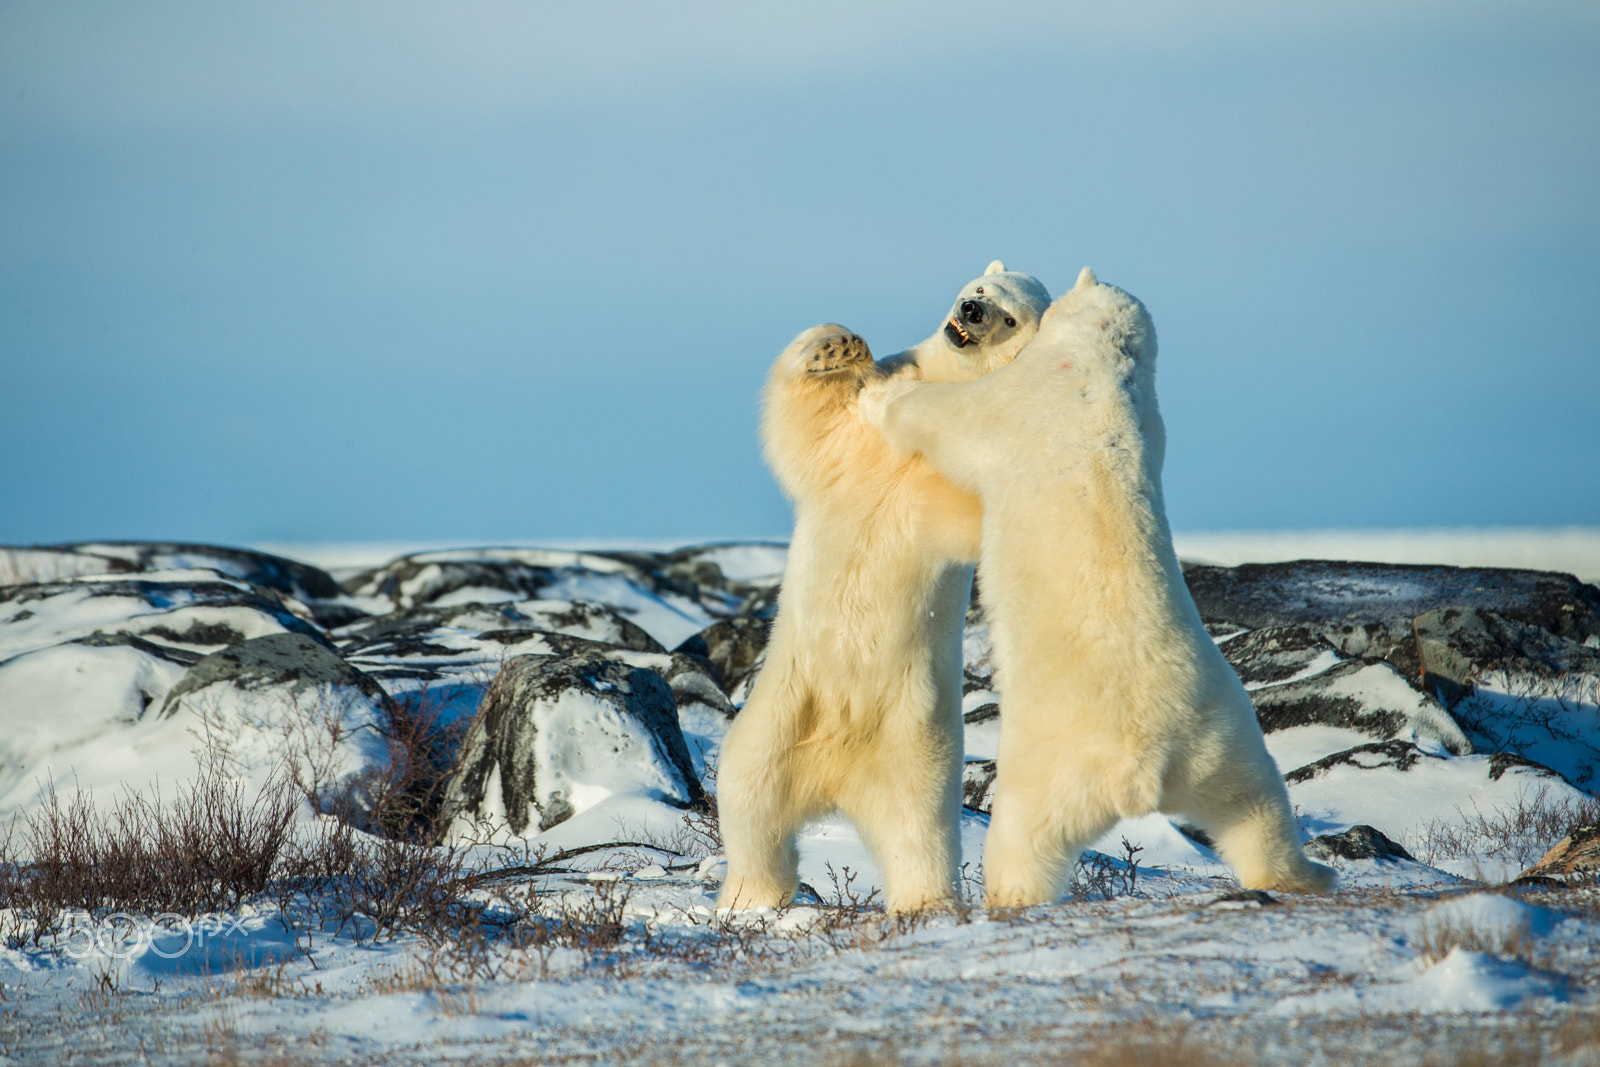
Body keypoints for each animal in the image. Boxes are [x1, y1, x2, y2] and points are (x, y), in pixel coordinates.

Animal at [716, 262, 1049, 915]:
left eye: (1009, 315)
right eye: (978, 288)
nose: (971, 312)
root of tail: (836, 781)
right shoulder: (859, 436)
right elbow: (809, 424)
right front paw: (839, 345)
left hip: (917, 738)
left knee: (919, 827)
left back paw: (925, 902)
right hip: (782, 710)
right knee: (747, 793)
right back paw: (750, 898)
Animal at [864, 268, 1337, 908]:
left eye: (1002, 310)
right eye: (980, 294)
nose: (970, 310)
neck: (1106, 357)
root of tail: (1144, 767)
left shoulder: (1021, 398)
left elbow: (950, 420)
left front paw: (878, 395)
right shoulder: (1154, 422)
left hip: (1053, 763)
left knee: (1025, 839)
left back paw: (1006, 897)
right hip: (1222, 736)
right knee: (1256, 810)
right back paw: (1307, 873)